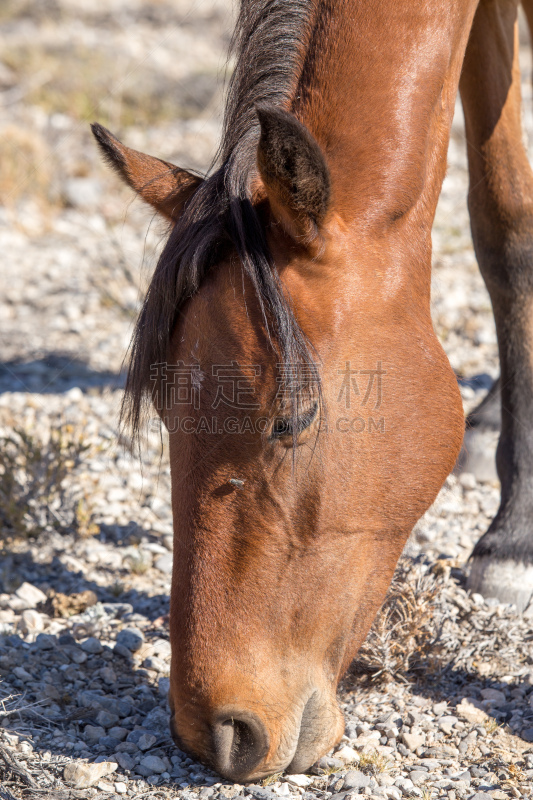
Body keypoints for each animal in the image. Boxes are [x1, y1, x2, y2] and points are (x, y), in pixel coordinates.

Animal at [93, 0, 532, 780]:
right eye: (167, 413)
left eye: (290, 420)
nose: (217, 733)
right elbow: (501, 228)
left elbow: (510, 224)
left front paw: (514, 538)